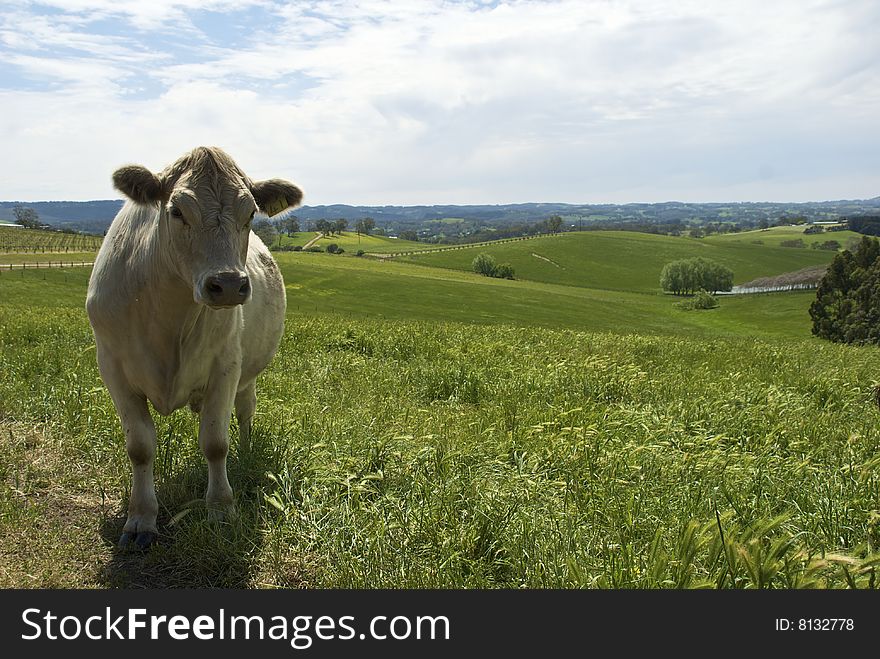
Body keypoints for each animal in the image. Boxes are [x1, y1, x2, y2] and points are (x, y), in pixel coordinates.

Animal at [87, 147, 300, 548]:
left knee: (245, 412)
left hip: (247, 376)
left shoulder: (226, 366)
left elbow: (216, 443)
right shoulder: (113, 369)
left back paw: (246, 453)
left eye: (251, 214)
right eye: (176, 211)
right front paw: (141, 519)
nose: (229, 284)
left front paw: (221, 509)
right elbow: (140, 447)